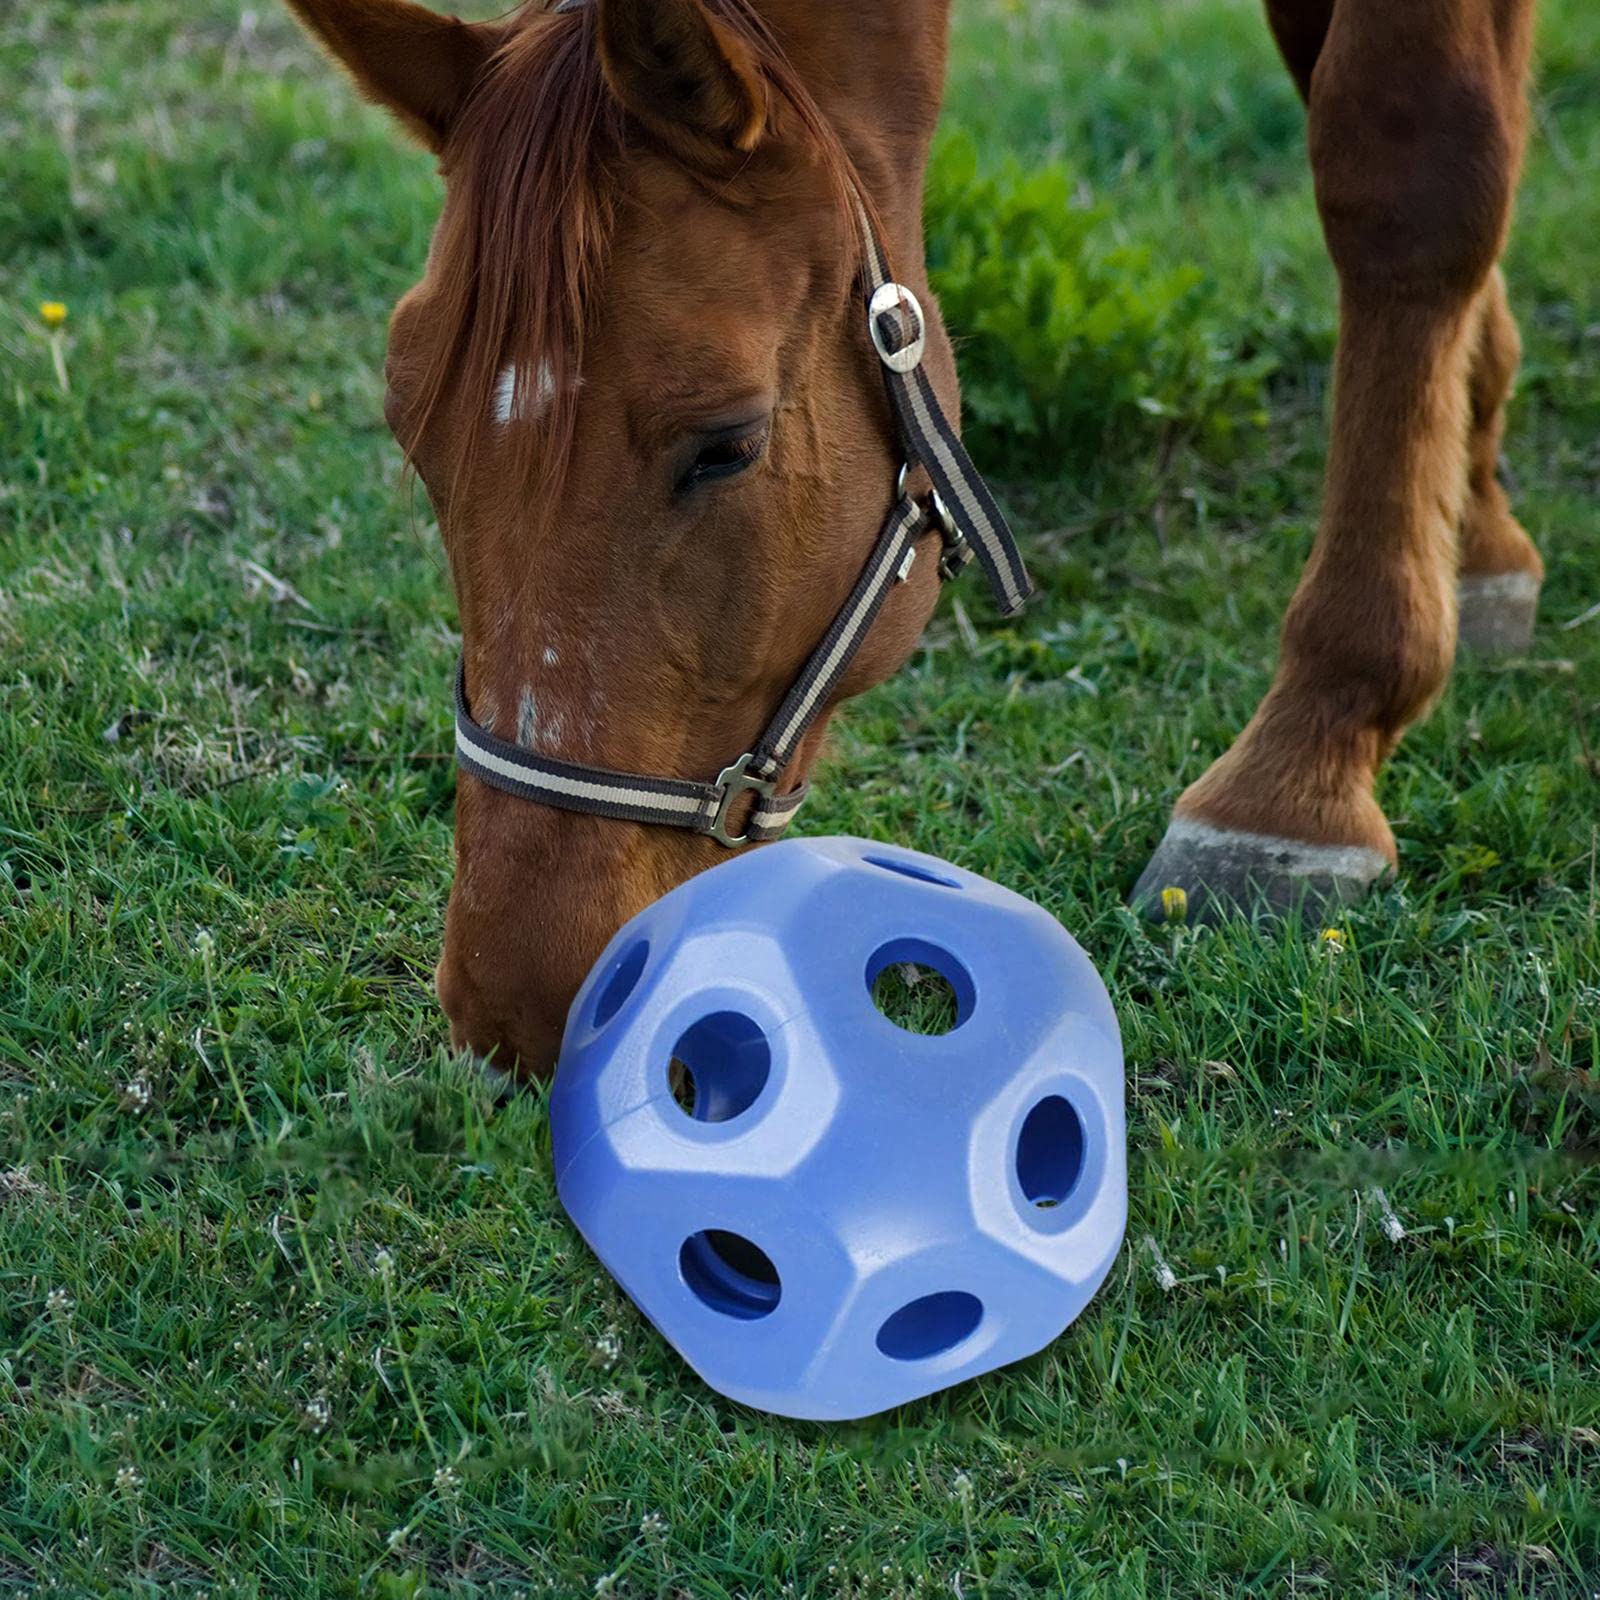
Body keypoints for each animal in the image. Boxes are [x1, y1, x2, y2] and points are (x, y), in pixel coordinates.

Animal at [285, 0, 1541, 1079]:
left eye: (724, 445)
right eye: (413, 431)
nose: (512, 1002)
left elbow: (1408, 172)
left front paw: (1304, 768)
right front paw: (1468, 505)